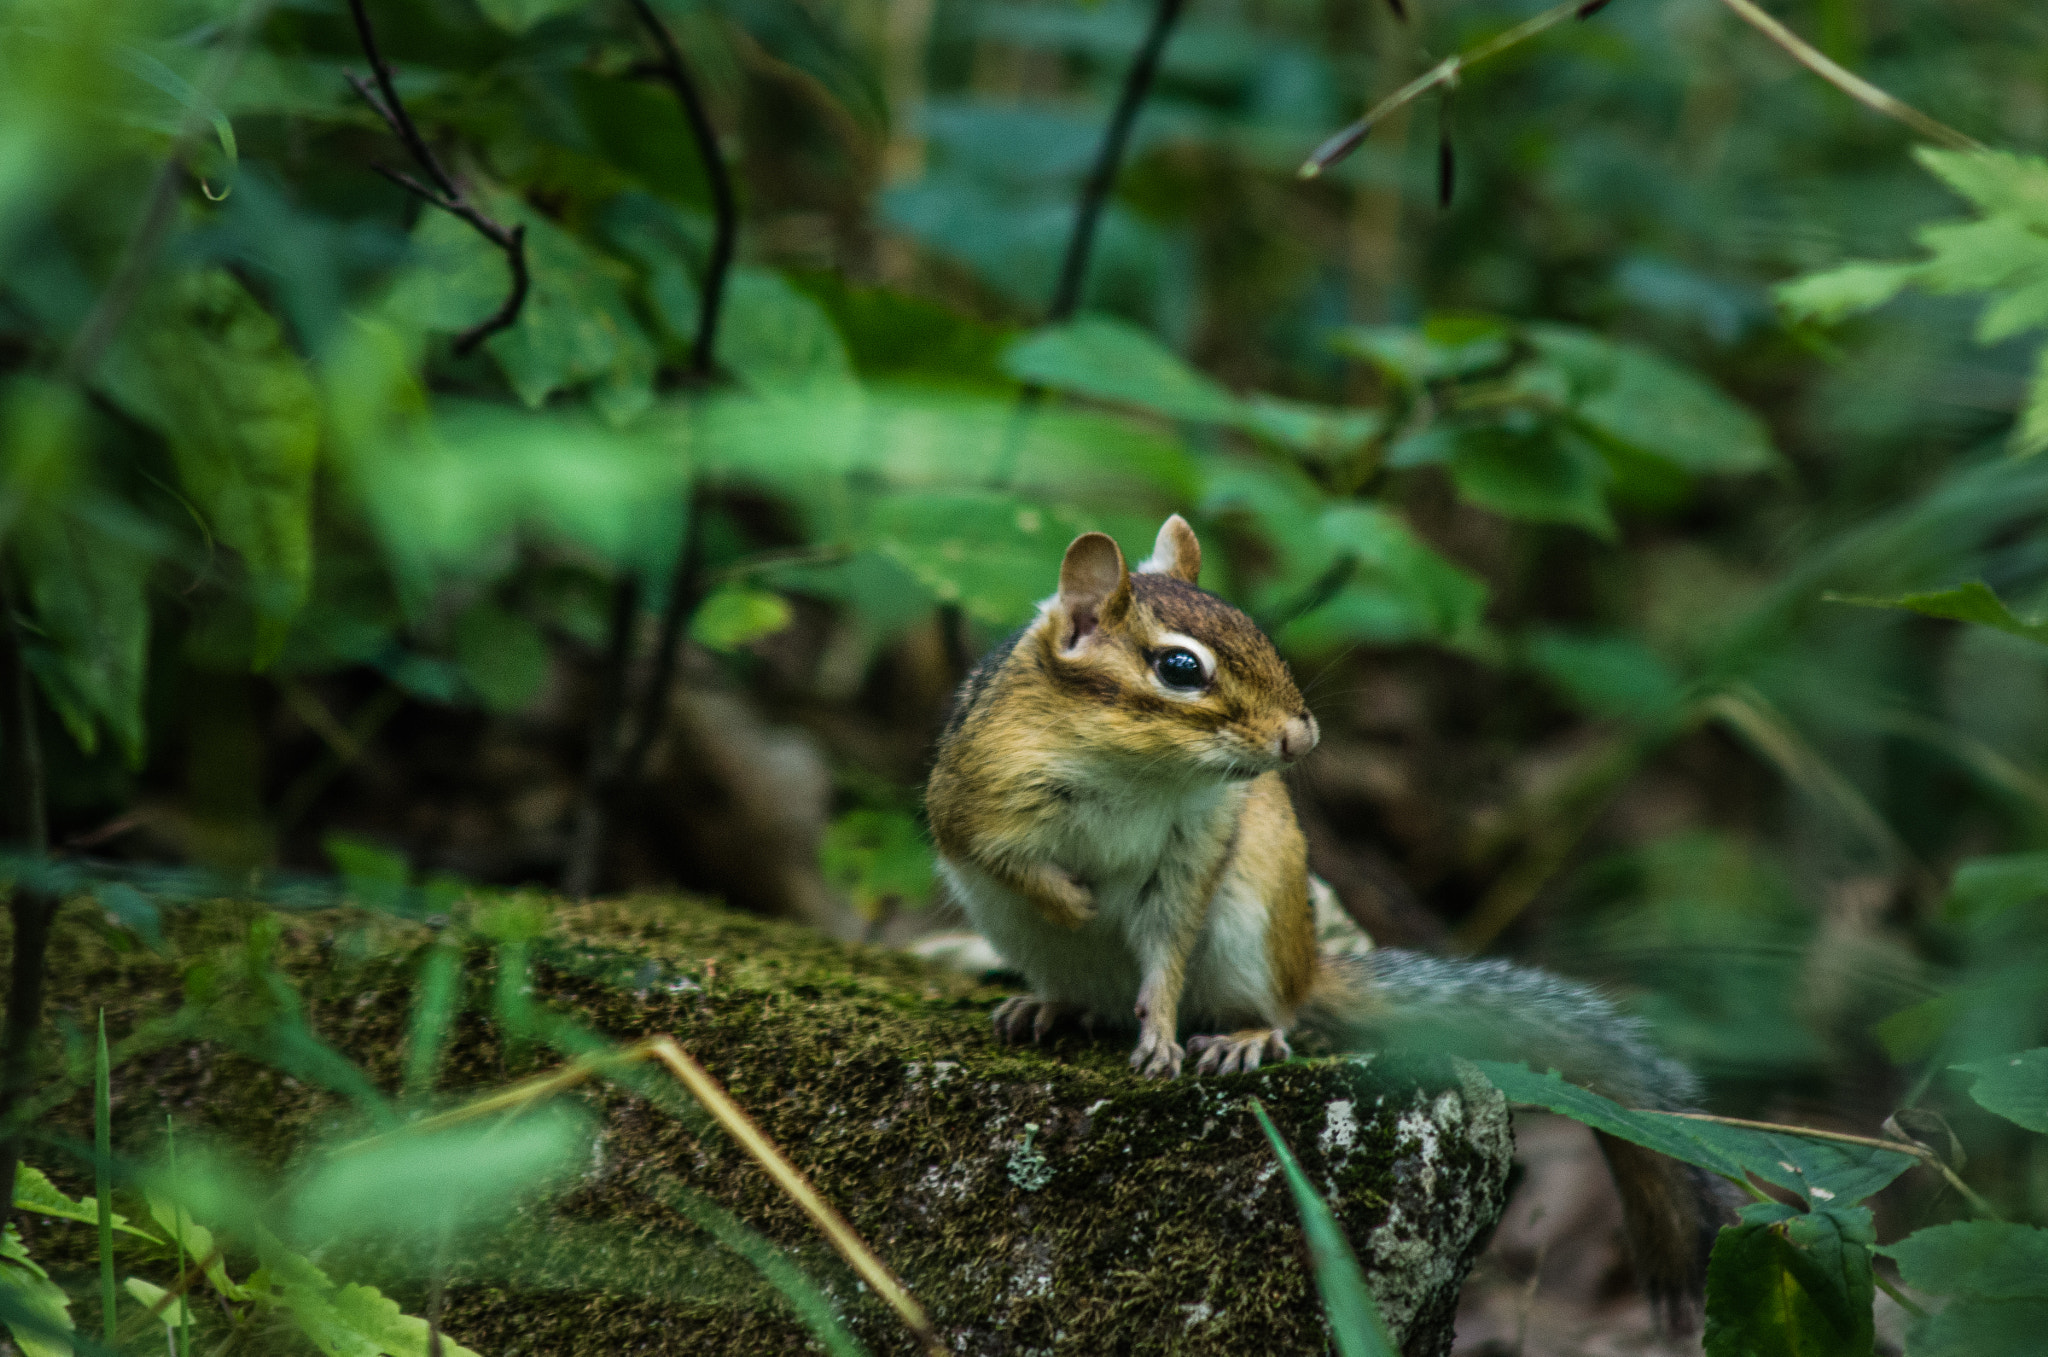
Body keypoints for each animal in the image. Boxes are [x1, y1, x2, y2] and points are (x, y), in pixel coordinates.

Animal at [925, 514, 1732, 1323]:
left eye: (1256, 630)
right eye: (1180, 668)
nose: (1300, 737)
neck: (1135, 771)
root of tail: (1309, 961)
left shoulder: (1195, 851)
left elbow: (1168, 947)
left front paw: (1160, 1036)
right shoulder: (973, 806)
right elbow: (1011, 863)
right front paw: (1077, 902)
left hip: (1254, 923)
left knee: (1275, 1010)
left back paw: (1244, 1038)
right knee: (1077, 988)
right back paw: (1045, 1005)